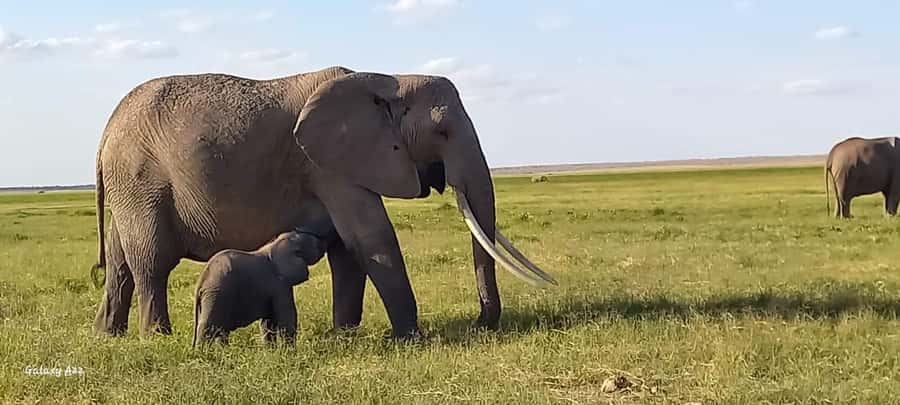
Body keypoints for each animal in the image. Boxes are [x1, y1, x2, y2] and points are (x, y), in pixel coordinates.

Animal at [192, 228, 327, 348]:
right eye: (315, 245)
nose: (323, 241)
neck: (276, 244)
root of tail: (201, 280)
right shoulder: (279, 284)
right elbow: (287, 318)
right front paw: (289, 353)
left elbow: (268, 322)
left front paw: (271, 351)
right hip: (216, 293)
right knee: (208, 326)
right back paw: (204, 354)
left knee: (221, 330)